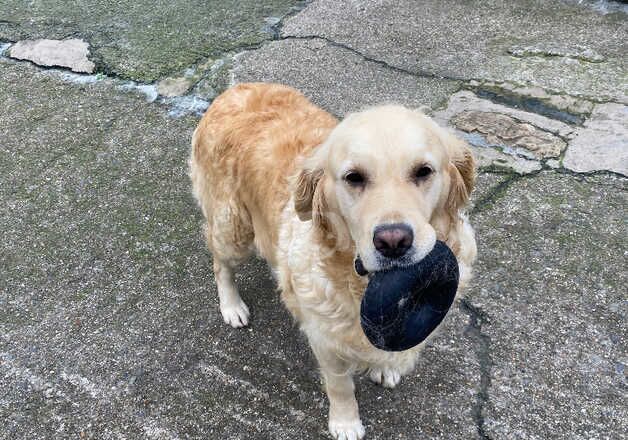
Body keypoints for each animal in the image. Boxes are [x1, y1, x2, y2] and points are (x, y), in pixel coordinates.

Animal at [190, 83, 476, 440]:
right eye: (354, 178)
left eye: (423, 171)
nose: (393, 242)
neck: (359, 282)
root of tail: (234, 89)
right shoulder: (325, 339)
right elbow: (340, 386)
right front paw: (345, 422)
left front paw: (385, 369)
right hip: (234, 228)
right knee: (220, 263)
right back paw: (232, 306)